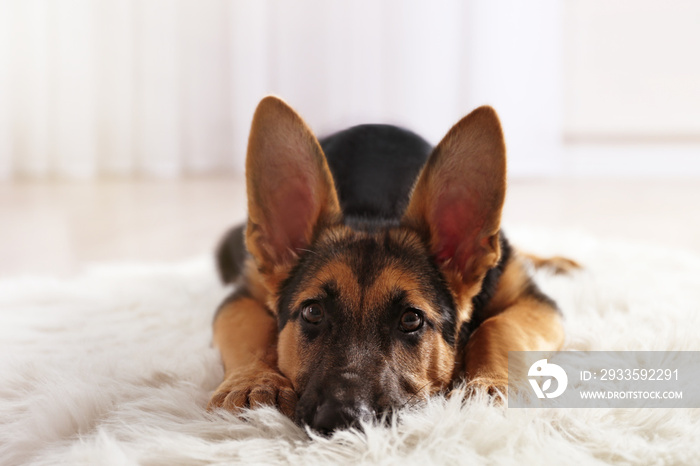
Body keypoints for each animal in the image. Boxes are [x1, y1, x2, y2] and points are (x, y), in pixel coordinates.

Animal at [205, 95, 576, 434]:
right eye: (312, 312)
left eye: (411, 319)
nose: (343, 420)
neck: (376, 211)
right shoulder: (240, 298)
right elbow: (252, 331)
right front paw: (254, 382)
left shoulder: (535, 304)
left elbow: (498, 327)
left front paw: (489, 385)